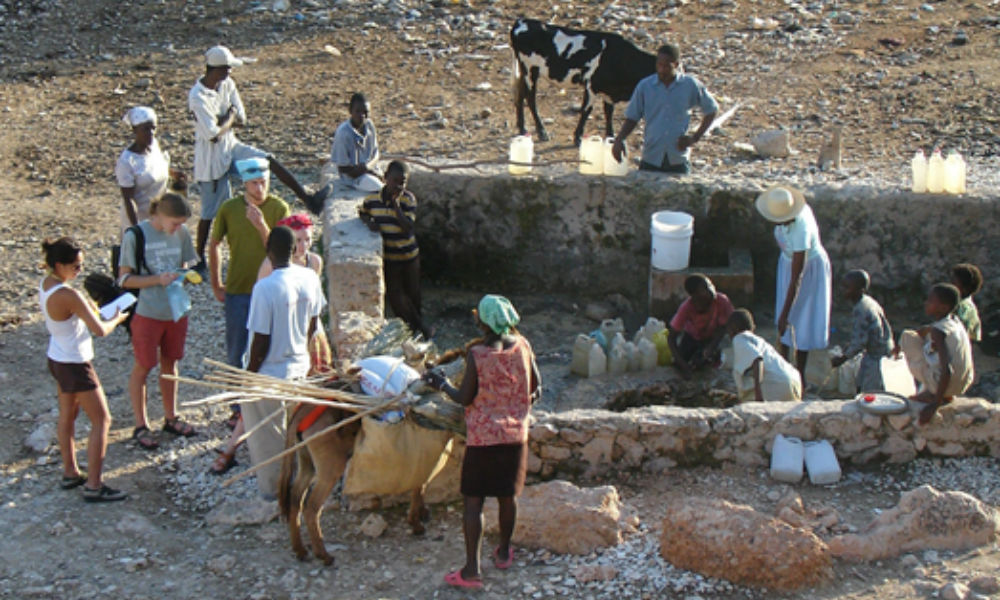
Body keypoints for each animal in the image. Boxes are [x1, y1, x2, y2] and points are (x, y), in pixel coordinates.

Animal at [512, 17, 660, 146]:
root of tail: (521, 21)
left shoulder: (609, 91)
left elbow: (609, 112)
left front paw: (611, 137)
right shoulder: (591, 85)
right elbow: (586, 111)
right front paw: (578, 138)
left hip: (525, 71)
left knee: (520, 95)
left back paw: (522, 128)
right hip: (530, 70)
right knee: (530, 99)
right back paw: (541, 132)